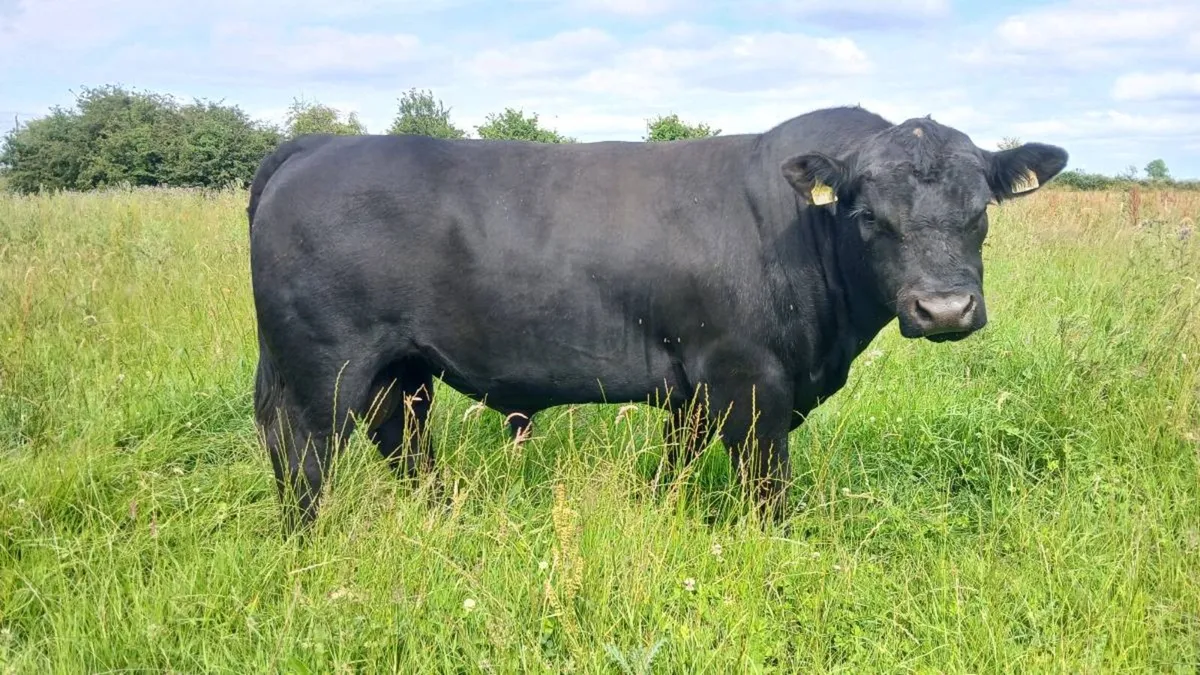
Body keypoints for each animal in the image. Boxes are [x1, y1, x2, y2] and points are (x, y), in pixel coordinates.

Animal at [246, 105, 1067, 533]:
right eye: (867, 215)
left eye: (980, 209)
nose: (945, 309)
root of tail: (320, 144)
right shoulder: (748, 379)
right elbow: (766, 483)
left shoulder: (693, 388)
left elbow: (675, 461)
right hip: (324, 367)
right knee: (306, 454)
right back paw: (309, 542)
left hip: (403, 365)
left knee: (402, 439)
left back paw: (447, 519)